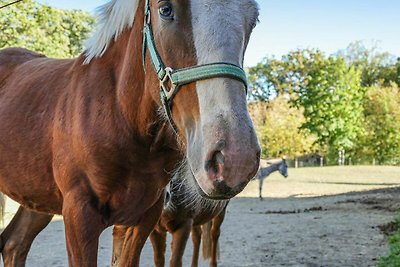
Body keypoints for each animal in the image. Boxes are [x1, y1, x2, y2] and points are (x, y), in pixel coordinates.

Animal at [0, 0, 260, 266]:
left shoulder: (142, 219)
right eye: (165, 9)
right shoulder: (78, 215)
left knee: (14, 243)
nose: (236, 159)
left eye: (253, 19)